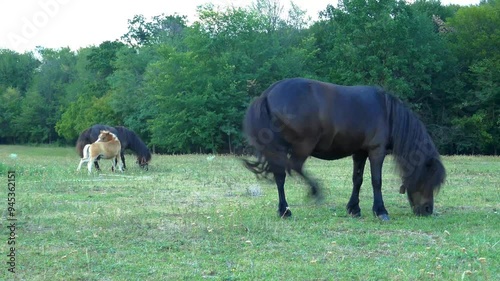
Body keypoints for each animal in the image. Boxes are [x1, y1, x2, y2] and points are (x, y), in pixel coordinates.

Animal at [242, 77, 446, 220]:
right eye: (428, 178)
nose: (427, 210)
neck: (388, 113)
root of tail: (268, 94)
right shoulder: (376, 151)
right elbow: (376, 181)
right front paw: (380, 211)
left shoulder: (360, 152)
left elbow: (357, 179)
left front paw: (354, 208)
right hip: (303, 145)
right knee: (294, 167)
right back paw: (315, 191)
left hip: (279, 148)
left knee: (280, 175)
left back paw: (284, 210)